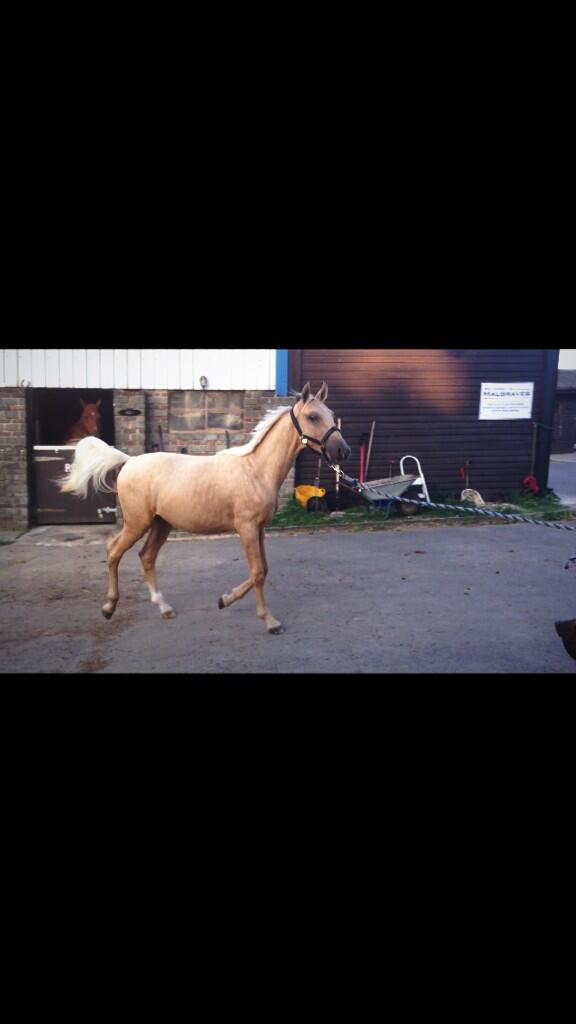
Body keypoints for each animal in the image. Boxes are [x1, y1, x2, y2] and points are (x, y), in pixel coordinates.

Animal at [59, 382, 351, 634]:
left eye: (331, 414)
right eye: (313, 416)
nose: (342, 451)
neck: (256, 470)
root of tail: (129, 461)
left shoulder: (259, 530)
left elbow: (263, 570)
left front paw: (225, 599)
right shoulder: (246, 528)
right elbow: (257, 572)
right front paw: (269, 621)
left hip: (161, 524)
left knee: (147, 557)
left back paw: (164, 608)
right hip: (137, 523)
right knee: (114, 551)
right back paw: (109, 607)